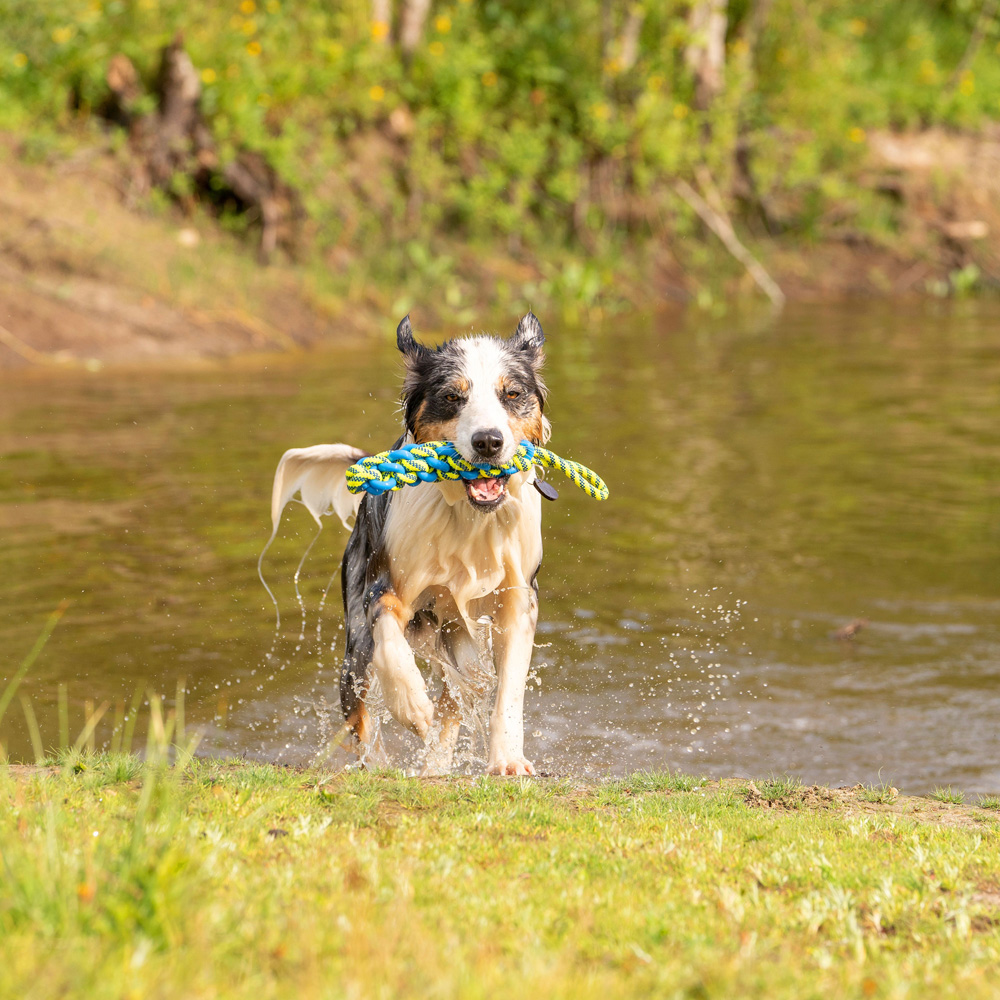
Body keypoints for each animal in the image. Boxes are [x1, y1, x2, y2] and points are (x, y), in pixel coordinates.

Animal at [270, 310, 552, 772]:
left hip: (459, 637)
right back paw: (381, 764)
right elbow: (389, 635)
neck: (466, 516)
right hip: (355, 643)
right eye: (452, 397)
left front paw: (508, 760)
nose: (488, 441)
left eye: (511, 394)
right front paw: (411, 706)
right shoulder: (385, 586)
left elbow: (508, 689)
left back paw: (435, 765)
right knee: (359, 713)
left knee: (461, 694)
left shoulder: (518, 599)